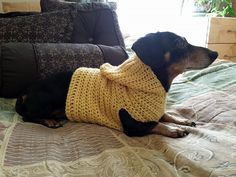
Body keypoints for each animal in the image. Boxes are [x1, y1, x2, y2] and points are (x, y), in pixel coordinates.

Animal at [14, 31, 218, 138]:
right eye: (178, 43)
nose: (215, 53)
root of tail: (25, 91)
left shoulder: (153, 110)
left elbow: (165, 115)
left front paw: (182, 121)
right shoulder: (133, 126)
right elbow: (155, 124)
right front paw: (175, 129)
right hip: (50, 99)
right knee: (27, 116)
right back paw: (49, 121)